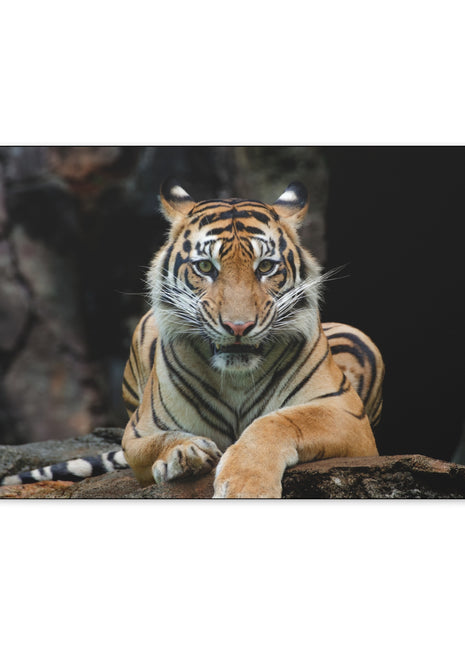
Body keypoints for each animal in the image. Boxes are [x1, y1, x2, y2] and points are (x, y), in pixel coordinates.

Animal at [1, 179, 384, 497]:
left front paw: (246, 486)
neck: (237, 377)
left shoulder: (346, 416)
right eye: (205, 267)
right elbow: (164, 439)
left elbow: (277, 423)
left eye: (265, 267)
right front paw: (186, 453)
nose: (239, 327)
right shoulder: (138, 432)